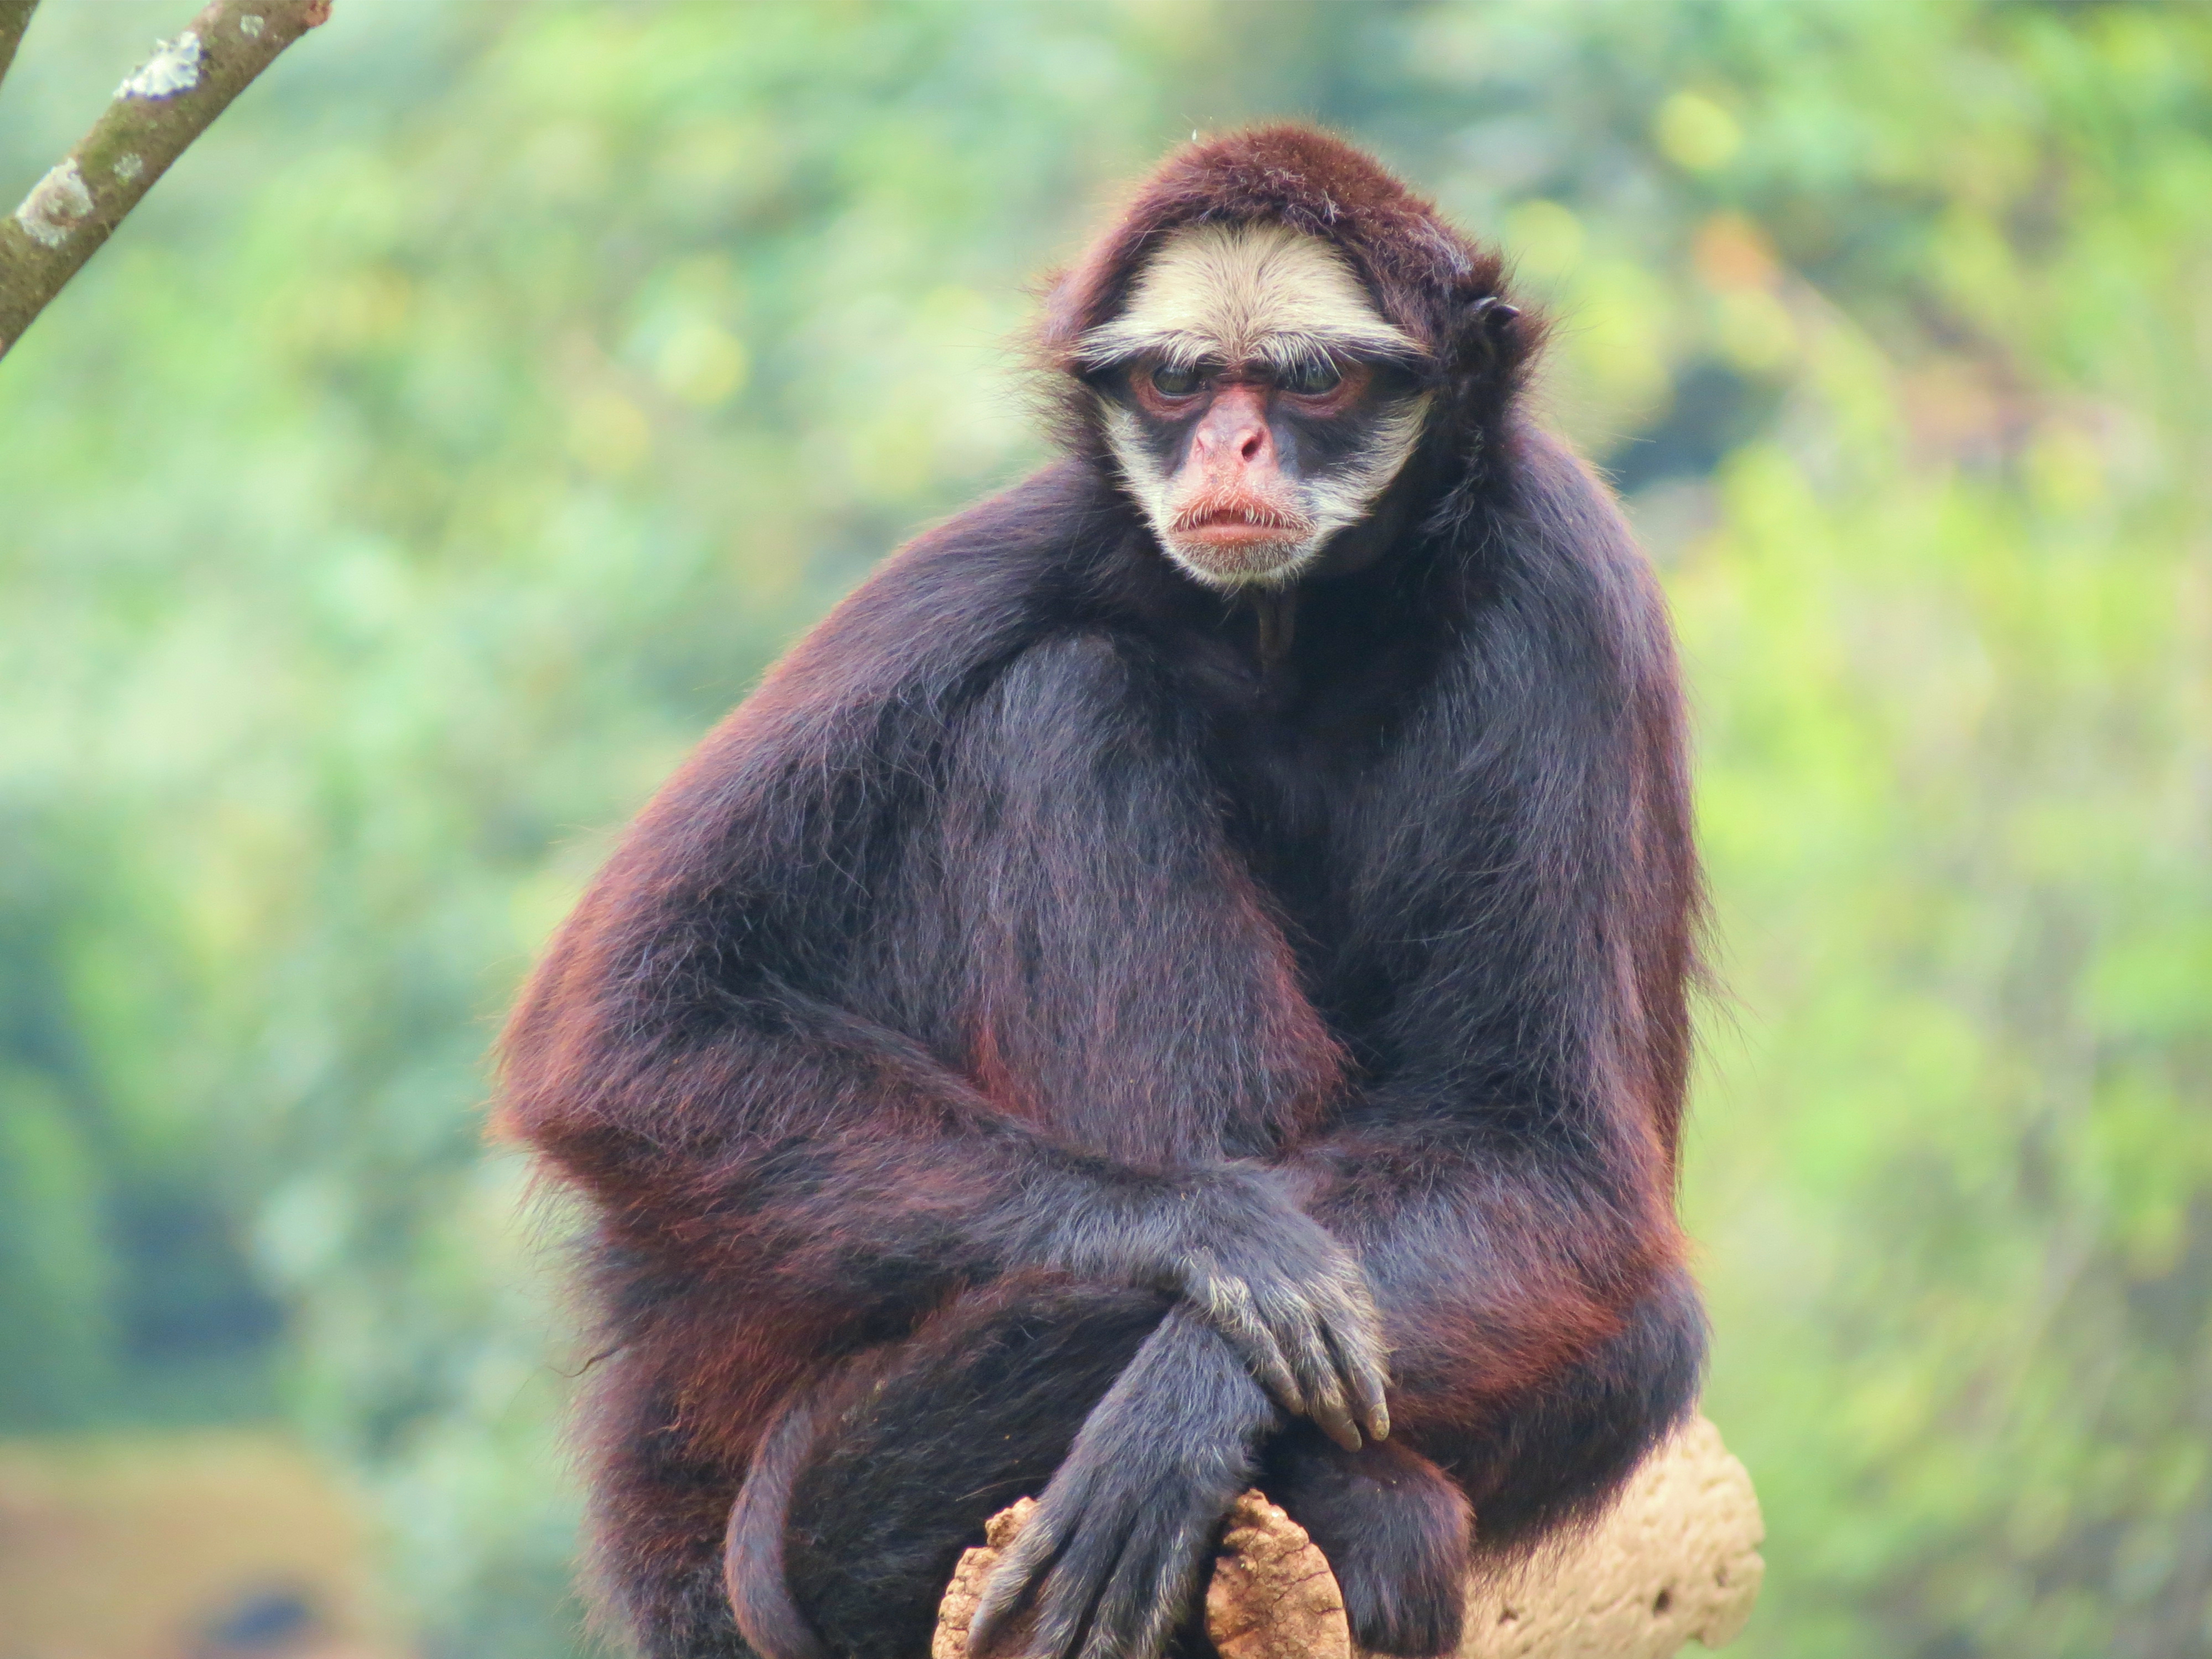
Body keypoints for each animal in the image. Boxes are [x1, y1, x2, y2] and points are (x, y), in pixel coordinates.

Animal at [507, 127, 1708, 1659]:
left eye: (1311, 383)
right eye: (1177, 384)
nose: (1226, 447)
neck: (1283, 629)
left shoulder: (1562, 581)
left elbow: (1547, 1153)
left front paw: (1180, 1404)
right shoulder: (1014, 552)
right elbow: (618, 1032)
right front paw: (1196, 1236)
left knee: (1641, 1337)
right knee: (1057, 701)